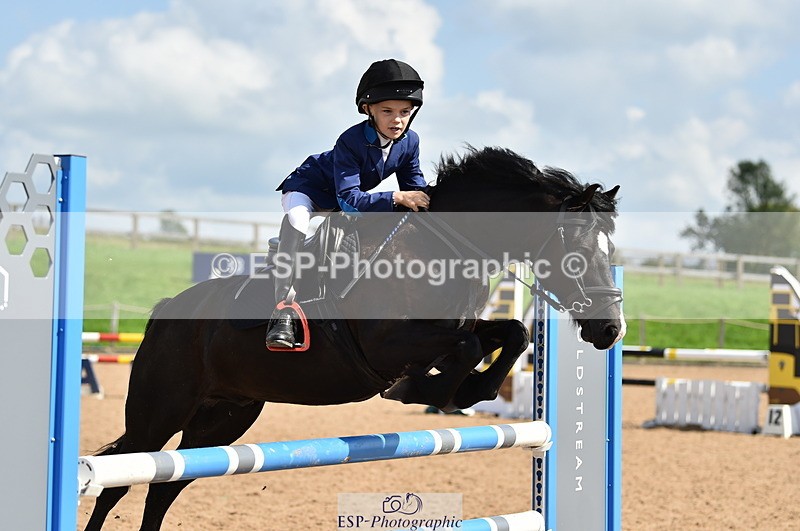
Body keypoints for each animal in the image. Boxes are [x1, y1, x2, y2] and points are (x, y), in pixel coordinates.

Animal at [83, 146, 625, 530]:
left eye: (610, 249)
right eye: (577, 252)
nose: (609, 329)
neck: (445, 247)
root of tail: (165, 313)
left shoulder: (454, 328)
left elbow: (509, 333)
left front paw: (469, 390)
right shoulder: (390, 344)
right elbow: (466, 349)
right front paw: (425, 389)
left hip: (221, 420)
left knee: (164, 484)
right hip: (161, 410)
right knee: (118, 480)